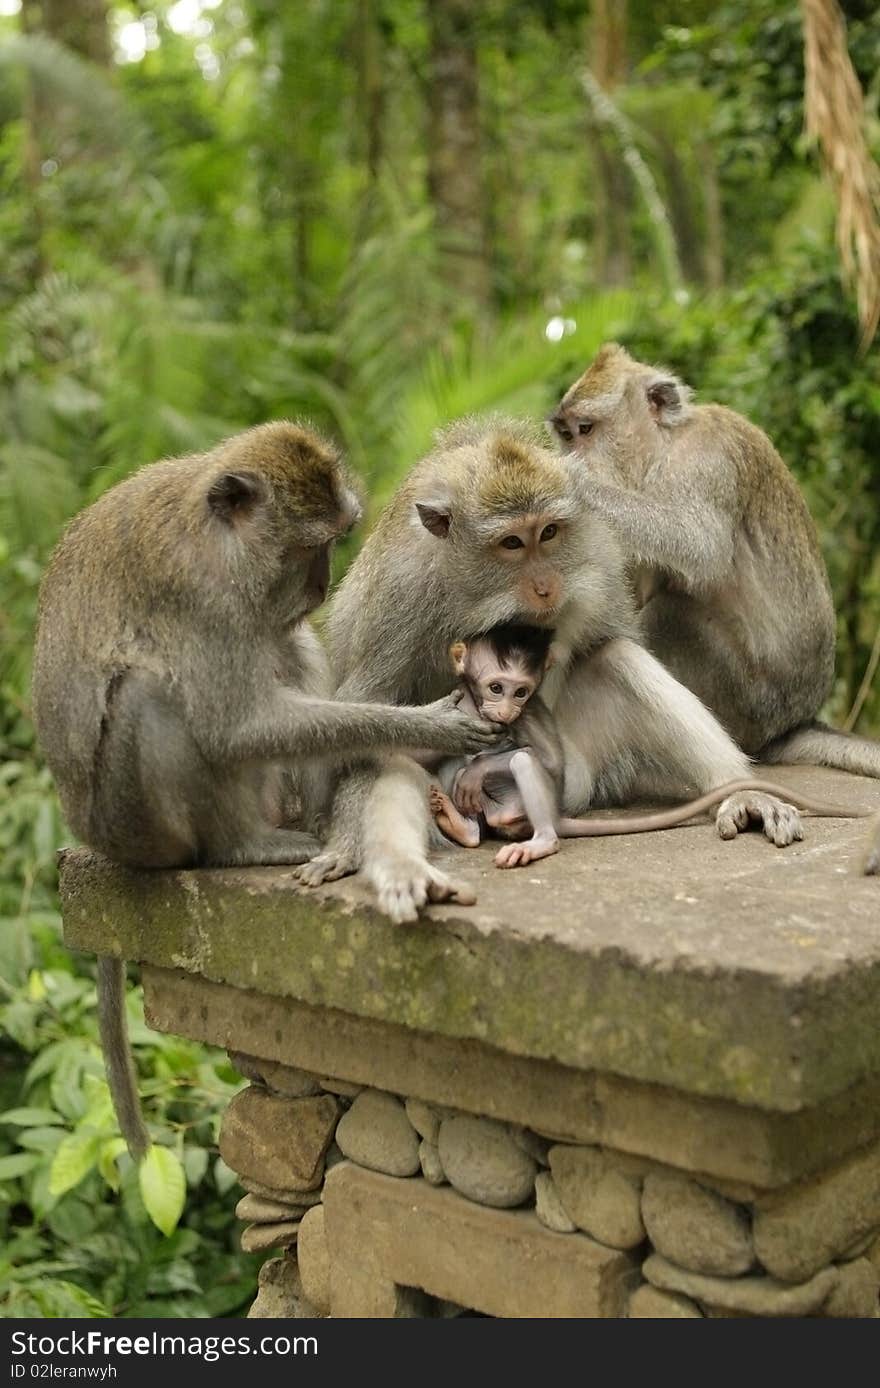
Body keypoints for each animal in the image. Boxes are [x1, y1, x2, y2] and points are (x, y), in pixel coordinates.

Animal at [294, 421, 810, 921]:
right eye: (511, 542)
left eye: (549, 533)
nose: (546, 586)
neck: (473, 592)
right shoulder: (400, 596)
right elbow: (369, 716)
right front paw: (345, 848)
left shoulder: (599, 557)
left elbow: (612, 635)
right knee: (398, 757)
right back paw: (409, 867)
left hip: (578, 773)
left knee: (617, 657)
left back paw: (740, 793)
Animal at [427, 627, 871, 866]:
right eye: (495, 687)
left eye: (520, 692)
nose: (504, 710)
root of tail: (554, 816)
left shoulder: (532, 712)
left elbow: (548, 758)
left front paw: (480, 770)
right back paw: (462, 825)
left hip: (558, 793)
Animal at [549, 344, 877, 782]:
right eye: (566, 434)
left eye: (585, 429)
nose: (568, 453)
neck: (664, 450)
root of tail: (792, 724)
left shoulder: (706, 457)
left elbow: (698, 542)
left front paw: (573, 483)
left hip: (747, 702)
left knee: (672, 611)